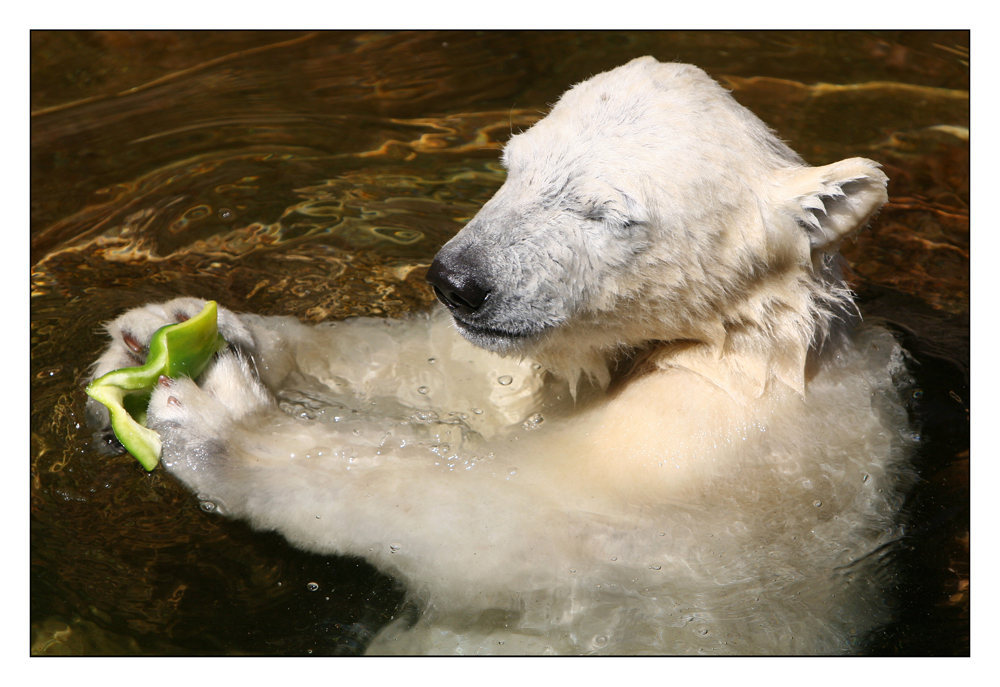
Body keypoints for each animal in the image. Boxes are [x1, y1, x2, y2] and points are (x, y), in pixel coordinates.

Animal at [86, 57, 916, 656]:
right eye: (514, 162)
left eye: (607, 212)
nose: (459, 280)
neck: (740, 336)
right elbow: (439, 372)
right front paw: (173, 328)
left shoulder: (706, 450)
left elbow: (498, 525)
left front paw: (221, 417)